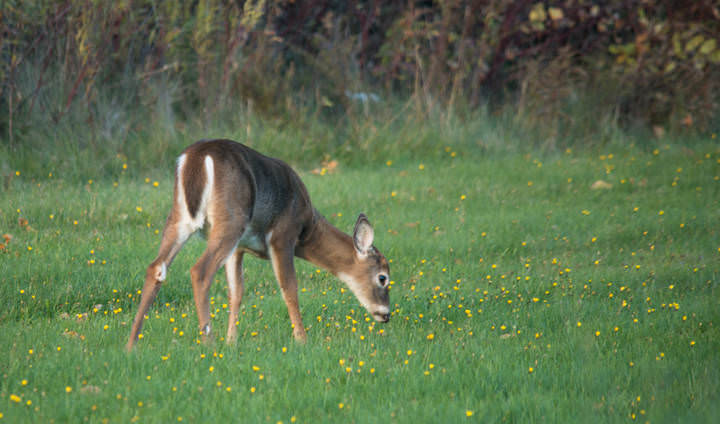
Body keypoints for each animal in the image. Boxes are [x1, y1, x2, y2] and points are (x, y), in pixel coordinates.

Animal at [126, 139, 391, 350]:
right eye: (383, 277)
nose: (386, 314)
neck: (307, 228)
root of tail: (196, 157)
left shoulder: (239, 249)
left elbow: (236, 293)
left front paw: (231, 341)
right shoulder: (282, 236)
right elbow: (289, 288)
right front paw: (302, 340)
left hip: (180, 216)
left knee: (156, 267)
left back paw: (131, 345)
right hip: (230, 220)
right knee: (200, 271)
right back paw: (208, 345)